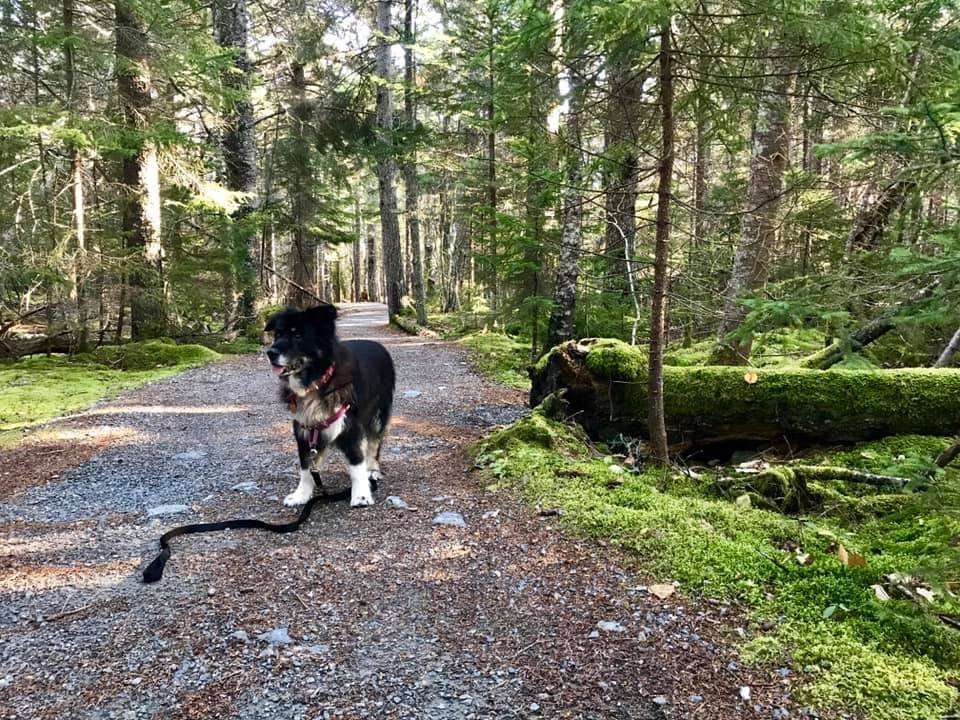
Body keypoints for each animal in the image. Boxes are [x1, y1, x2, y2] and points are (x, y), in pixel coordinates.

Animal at [262, 304, 394, 506]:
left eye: (297, 335)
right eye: (278, 334)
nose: (271, 353)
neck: (317, 381)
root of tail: (377, 345)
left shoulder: (350, 427)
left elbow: (357, 463)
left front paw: (361, 495)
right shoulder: (306, 430)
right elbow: (306, 468)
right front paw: (301, 495)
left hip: (378, 416)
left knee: (374, 445)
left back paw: (372, 470)